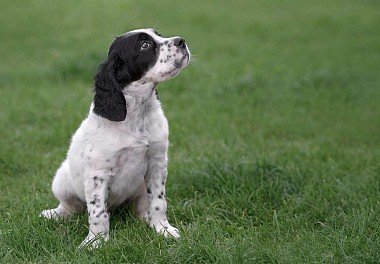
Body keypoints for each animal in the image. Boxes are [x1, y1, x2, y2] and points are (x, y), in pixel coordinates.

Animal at [39, 28, 190, 248]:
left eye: (159, 34)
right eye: (144, 45)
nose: (181, 41)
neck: (137, 116)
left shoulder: (157, 162)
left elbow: (158, 201)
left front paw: (163, 229)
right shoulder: (98, 173)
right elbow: (97, 212)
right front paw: (95, 242)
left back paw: (145, 218)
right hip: (61, 181)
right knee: (70, 206)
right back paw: (54, 214)